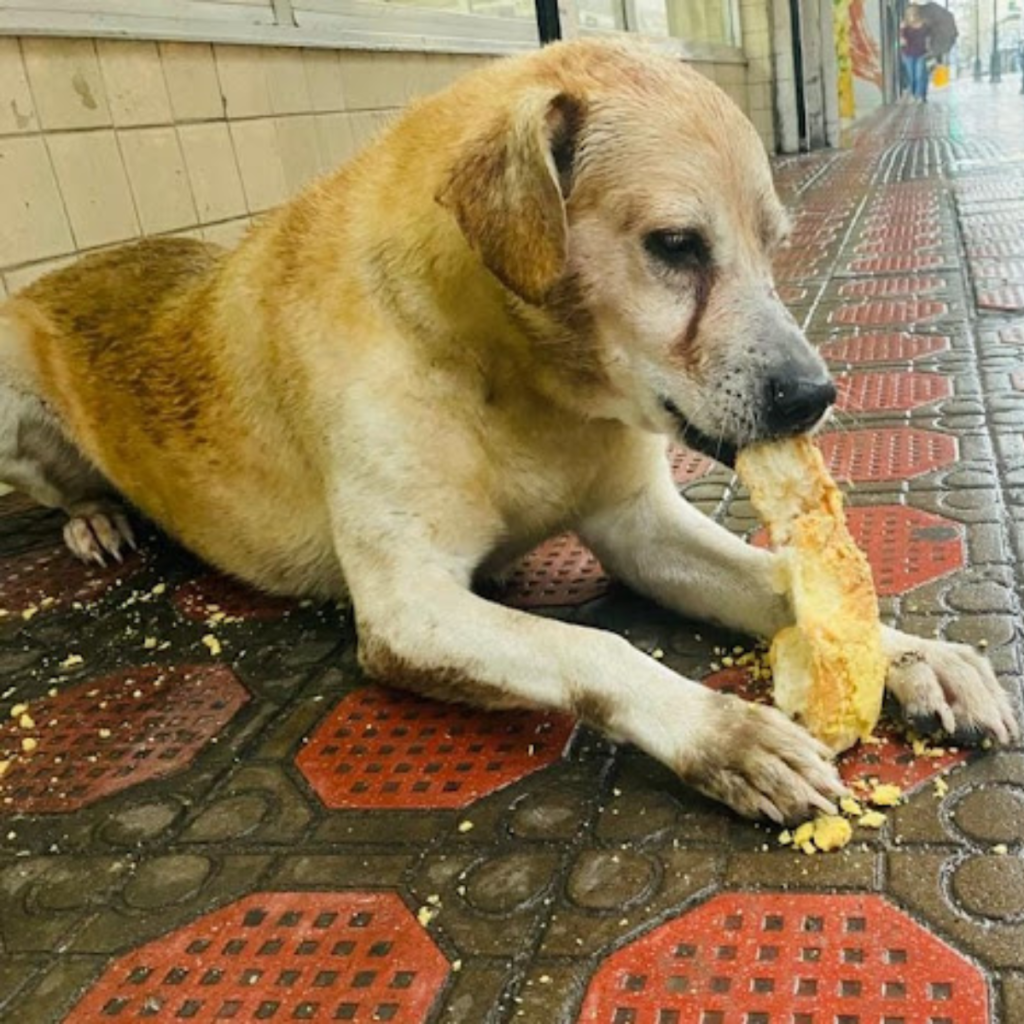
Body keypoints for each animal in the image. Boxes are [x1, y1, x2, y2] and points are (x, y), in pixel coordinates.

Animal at [0, 39, 1015, 823]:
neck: (526, 386)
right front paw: (721, 734)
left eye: (775, 244)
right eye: (676, 246)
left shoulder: (642, 529)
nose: (815, 395)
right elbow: (593, 647)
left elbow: (784, 581)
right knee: (63, 492)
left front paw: (916, 657)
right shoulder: (408, 608)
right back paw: (96, 519)